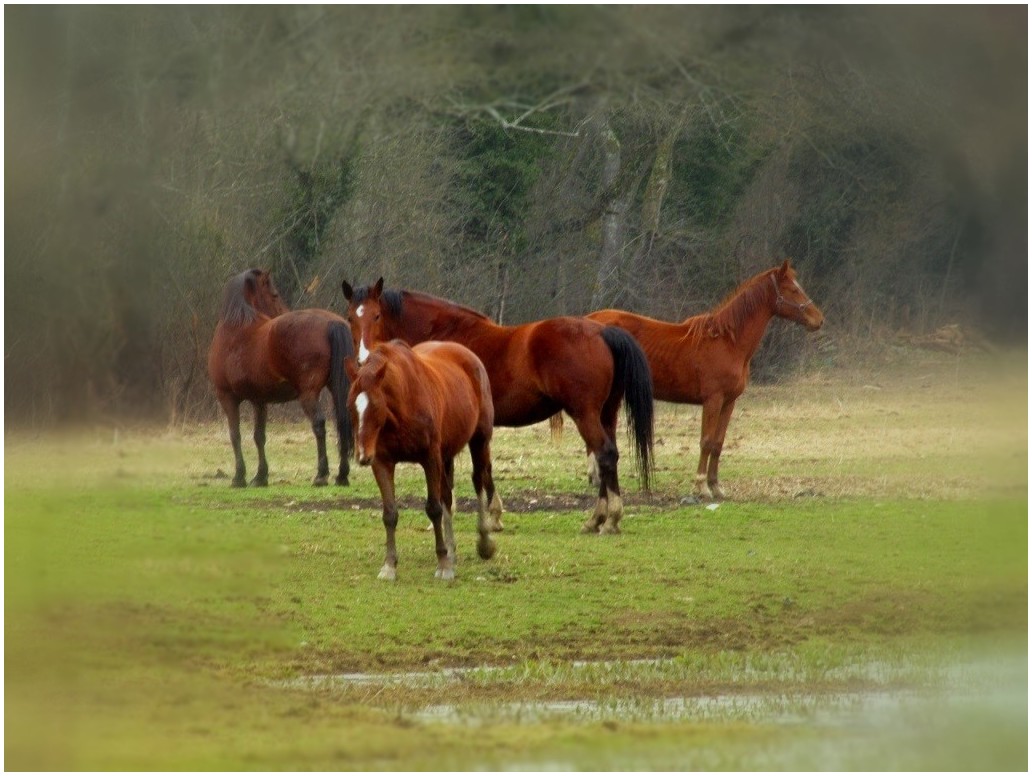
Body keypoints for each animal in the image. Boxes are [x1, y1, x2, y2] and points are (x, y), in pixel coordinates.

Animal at [206, 266, 355, 485]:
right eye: (275, 294)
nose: (282, 312)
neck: (236, 326)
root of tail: (332, 322)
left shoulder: (227, 397)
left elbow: (235, 435)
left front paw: (239, 476)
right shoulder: (259, 401)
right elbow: (259, 436)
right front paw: (260, 476)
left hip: (308, 394)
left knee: (319, 424)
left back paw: (321, 474)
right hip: (338, 388)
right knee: (343, 422)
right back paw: (342, 475)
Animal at [344, 276, 652, 536]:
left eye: (376, 315)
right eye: (350, 317)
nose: (363, 358)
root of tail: (603, 332)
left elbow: (468, 471)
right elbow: (485, 467)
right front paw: (492, 515)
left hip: (585, 415)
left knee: (605, 454)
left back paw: (607, 518)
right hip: (606, 414)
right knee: (608, 457)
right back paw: (600, 518)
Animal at [346, 340, 499, 582]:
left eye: (376, 406)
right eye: (350, 406)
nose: (362, 455)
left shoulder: (430, 459)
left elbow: (434, 508)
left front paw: (443, 564)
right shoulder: (382, 463)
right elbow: (390, 513)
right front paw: (389, 565)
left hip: (479, 441)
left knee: (479, 481)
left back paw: (483, 542)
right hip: (447, 456)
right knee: (448, 496)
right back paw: (452, 551)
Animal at [590, 261, 821, 499]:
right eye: (793, 290)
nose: (818, 319)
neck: (728, 341)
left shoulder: (729, 402)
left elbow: (718, 443)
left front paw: (716, 486)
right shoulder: (713, 400)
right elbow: (706, 442)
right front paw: (701, 486)